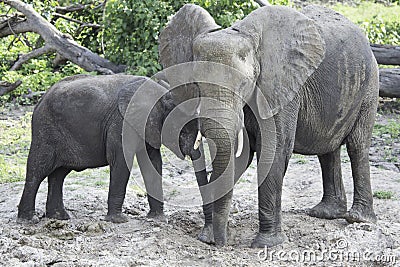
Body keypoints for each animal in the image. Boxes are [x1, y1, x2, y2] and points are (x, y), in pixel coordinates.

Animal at [16, 74, 209, 226]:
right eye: (183, 131)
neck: (160, 93)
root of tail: (40, 101)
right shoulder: (120, 123)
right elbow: (122, 161)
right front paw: (119, 220)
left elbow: (153, 164)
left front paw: (158, 219)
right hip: (45, 130)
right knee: (38, 170)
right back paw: (29, 221)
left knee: (59, 174)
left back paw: (60, 217)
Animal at [159, 4, 378, 248]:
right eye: (196, 84)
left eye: (244, 84)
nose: (220, 243)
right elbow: (240, 157)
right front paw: (210, 236)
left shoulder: (280, 87)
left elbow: (273, 151)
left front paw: (266, 244)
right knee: (327, 149)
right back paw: (325, 213)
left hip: (369, 85)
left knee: (357, 146)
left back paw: (357, 219)